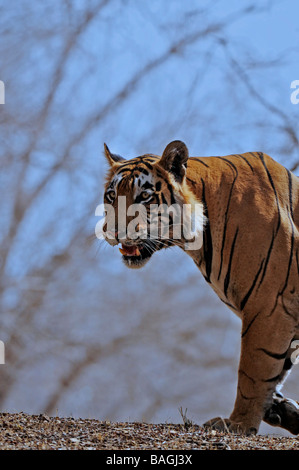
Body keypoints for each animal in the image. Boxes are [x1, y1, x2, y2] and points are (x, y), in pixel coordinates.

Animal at [102, 140, 299, 436]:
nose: (113, 232)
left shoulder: (268, 306)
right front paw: (281, 410)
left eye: (144, 196)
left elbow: (254, 372)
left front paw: (238, 424)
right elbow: (275, 371)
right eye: (112, 195)